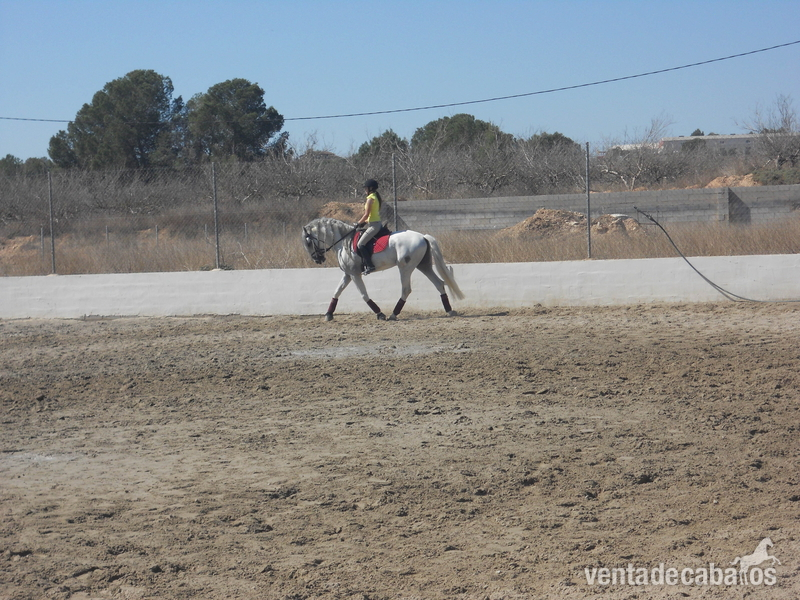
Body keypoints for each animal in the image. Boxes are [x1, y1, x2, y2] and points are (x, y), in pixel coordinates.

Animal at [301, 217, 463, 321]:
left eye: (308, 243)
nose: (317, 259)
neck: (343, 242)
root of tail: (422, 236)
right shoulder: (348, 274)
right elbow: (336, 292)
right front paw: (328, 314)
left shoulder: (354, 274)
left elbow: (364, 295)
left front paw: (380, 314)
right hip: (423, 265)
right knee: (439, 283)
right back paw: (449, 310)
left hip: (405, 267)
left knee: (406, 289)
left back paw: (393, 314)